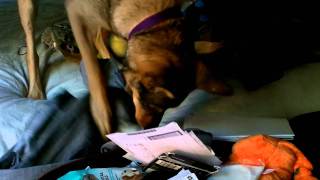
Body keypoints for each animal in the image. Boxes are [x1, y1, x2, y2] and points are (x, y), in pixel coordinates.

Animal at [18, 0, 230, 136]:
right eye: (149, 105)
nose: (147, 129)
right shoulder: (78, 14)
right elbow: (95, 73)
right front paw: (102, 115)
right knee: (31, 43)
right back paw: (35, 88)